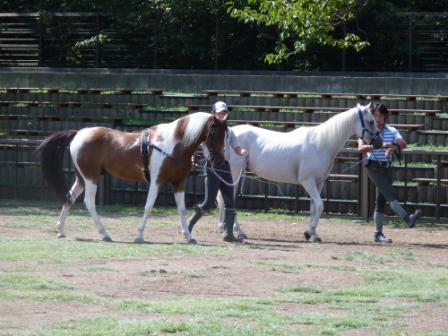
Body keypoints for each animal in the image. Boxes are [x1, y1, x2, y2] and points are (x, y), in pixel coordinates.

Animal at [34, 113, 228, 244]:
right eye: (216, 134)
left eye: (226, 135)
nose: (220, 161)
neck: (173, 144)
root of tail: (78, 134)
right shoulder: (157, 181)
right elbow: (148, 206)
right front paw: (139, 235)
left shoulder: (178, 183)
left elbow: (181, 209)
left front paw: (189, 236)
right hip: (91, 178)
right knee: (89, 202)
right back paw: (104, 234)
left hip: (82, 178)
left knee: (70, 198)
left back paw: (60, 230)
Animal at [217, 102, 382, 242]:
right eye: (371, 122)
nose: (380, 143)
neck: (320, 144)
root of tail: (229, 134)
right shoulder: (307, 182)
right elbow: (320, 205)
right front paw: (308, 233)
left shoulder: (318, 182)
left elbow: (314, 207)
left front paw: (314, 234)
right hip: (234, 174)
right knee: (227, 201)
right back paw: (238, 232)